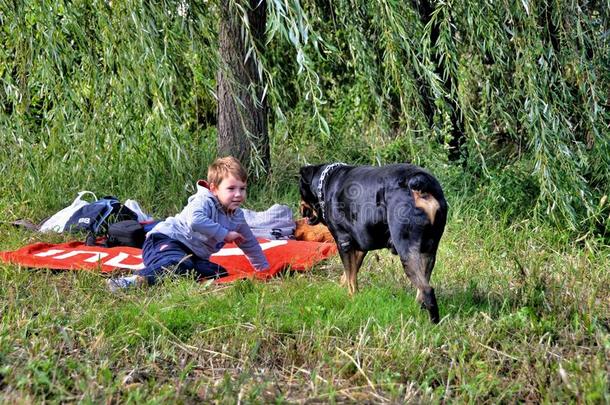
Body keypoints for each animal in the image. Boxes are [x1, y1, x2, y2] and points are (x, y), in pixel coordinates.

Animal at [300, 163, 446, 320]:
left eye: (300, 190)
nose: (300, 210)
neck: (325, 184)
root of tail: (420, 181)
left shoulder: (343, 242)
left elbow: (351, 278)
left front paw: (352, 298)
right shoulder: (359, 247)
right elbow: (350, 274)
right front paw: (342, 289)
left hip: (407, 251)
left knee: (427, 290)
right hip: (429, 251)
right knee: (421, 290)